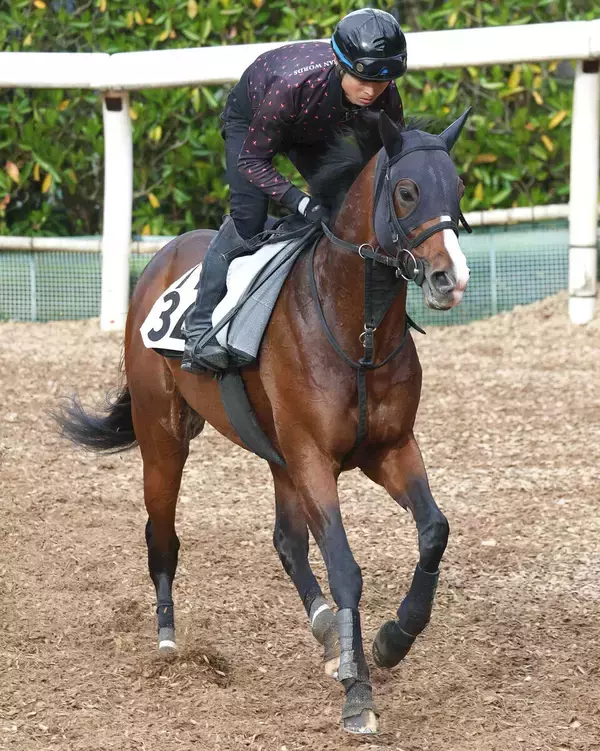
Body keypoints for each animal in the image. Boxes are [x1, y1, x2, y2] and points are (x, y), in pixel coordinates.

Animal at [57, 109, 471, 735]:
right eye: (407, 191)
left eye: (459, 188)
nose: (452, 278)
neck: (356, 332)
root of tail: (159, 261)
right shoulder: (313, 456)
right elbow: (345, 567)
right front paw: (358, 695)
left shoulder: (390, 448)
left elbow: (434, 531)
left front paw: (392, 639)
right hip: (164, 439)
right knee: (162, 534)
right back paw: (168, 639)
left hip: (278, 457)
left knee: (287, 542)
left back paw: (327, 631)